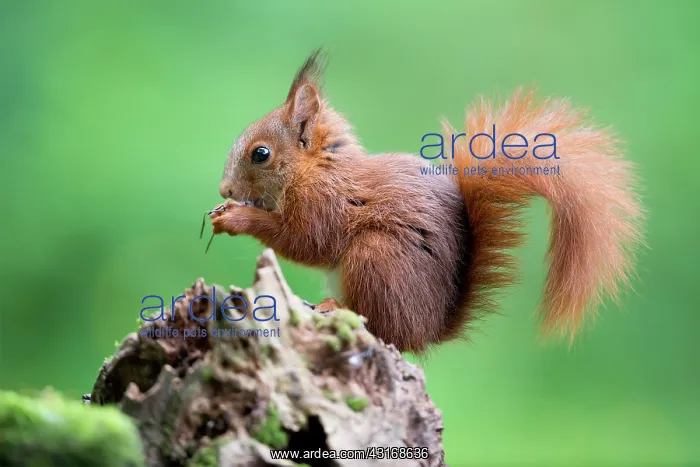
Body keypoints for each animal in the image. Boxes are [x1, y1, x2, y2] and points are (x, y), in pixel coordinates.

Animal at [209, 50, 644, 353]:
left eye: (261, 154)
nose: (225, 191)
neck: (315, 168)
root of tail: (429, 331)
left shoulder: (326, 204)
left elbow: (305, 242)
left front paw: (236, 219)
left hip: (376, 256)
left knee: (383, 328)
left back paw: (337, 307)